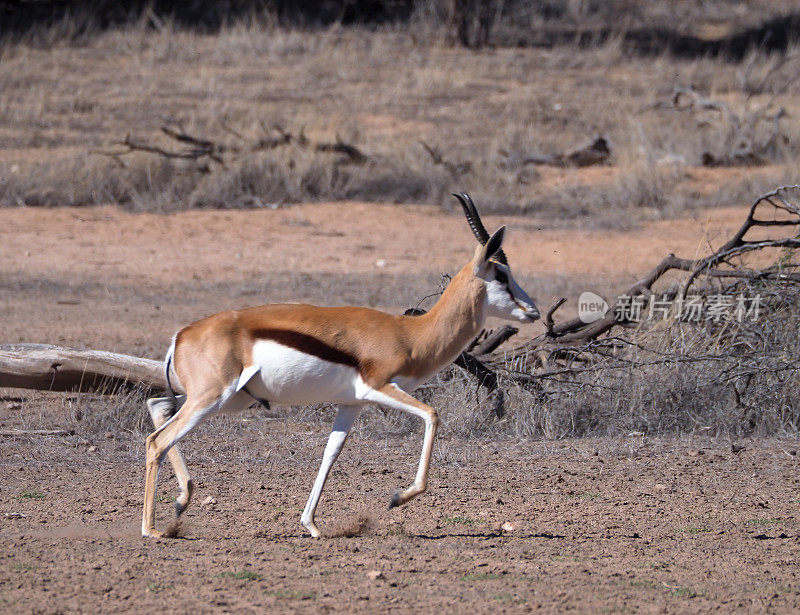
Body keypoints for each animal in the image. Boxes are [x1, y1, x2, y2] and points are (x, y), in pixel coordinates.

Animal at [145, 196, 540, 540]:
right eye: (501, 274)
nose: (533, 311)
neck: (410, 334)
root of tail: (182, 334)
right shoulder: (380, 387)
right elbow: (432, 415)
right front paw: (397, 498)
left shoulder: (351, 404)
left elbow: (330, 453)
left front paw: (311, 525)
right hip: (214, 397)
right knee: (157, 440)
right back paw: (152, 529)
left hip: (230, 399)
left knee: (158, 407)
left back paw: (182, 501)